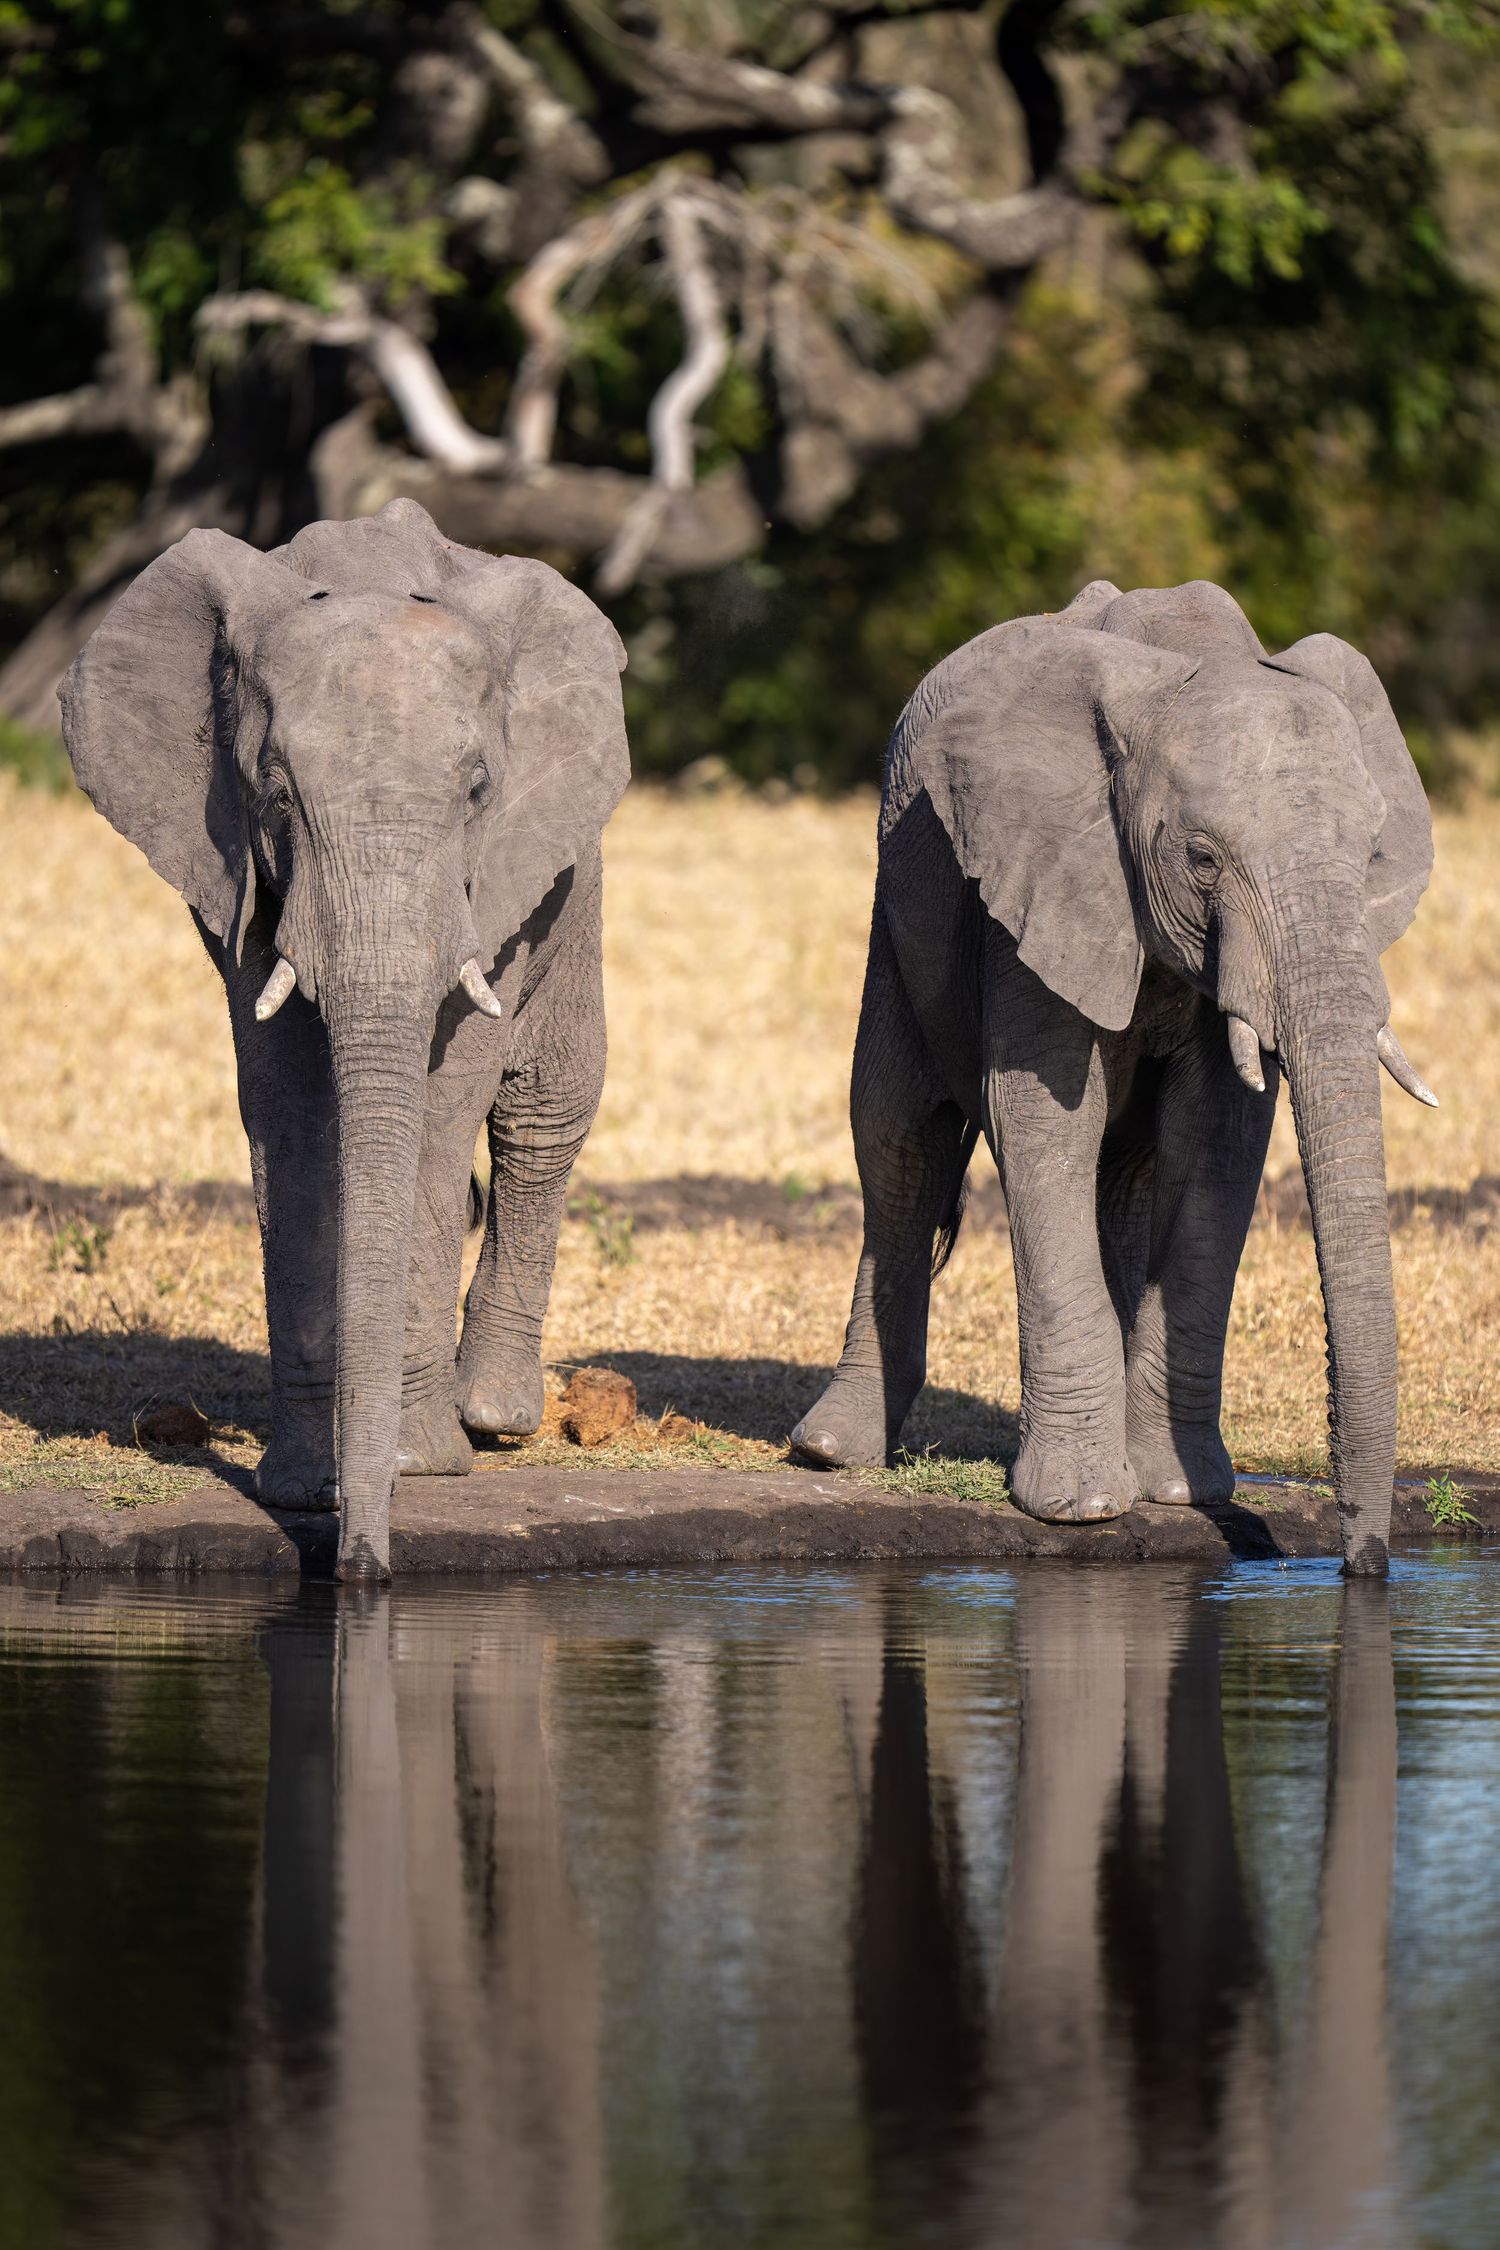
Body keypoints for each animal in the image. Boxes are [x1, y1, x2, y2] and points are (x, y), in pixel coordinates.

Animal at [60, 497, 629, 1581]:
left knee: (548, 1109)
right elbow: (286, 1105)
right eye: (277, 793)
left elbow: (446, 1101)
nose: (363, 1570)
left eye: (479, 792)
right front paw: (307, 1487)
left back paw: (492, 1419)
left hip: (572, 880)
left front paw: (415, 1464)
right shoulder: (234, 866)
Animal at [791, 578, 1435, 1575]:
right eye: (1202, 859)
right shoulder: (1045, 877)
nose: (1360, 1565)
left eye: (1371, 857)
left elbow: (1219, 1141)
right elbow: (1042, 1117)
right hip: (899, 902)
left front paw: (1181, 1492)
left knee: (1123, 1172)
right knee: (901, 1141)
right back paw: (832, 1452)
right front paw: (1083, 1508)